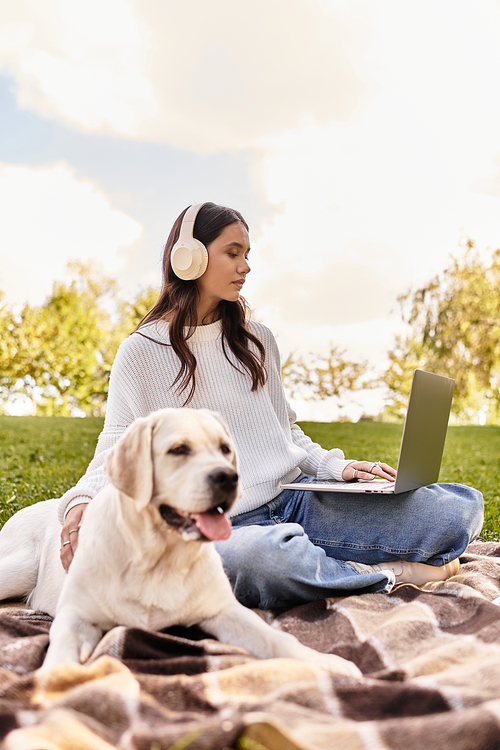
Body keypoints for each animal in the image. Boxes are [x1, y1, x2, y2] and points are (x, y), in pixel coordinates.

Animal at [0, 412, 360, 680]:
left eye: (225, 449)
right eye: (178, 450)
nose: (228, 477)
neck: (157, 557)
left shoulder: (225, 611)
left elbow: (277, 638)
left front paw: (325, 661)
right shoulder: (76, 615)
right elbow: (61, 644)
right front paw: (57, 678)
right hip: (17, 570)